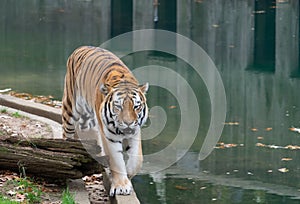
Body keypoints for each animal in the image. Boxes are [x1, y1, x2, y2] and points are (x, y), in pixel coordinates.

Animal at [61, 46, 148, 196]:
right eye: (118, 106)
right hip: (70, 108)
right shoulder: (109, 136)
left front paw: (128, 175)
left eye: (136, 107)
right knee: (67, 134)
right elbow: (116, 160)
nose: (128, 123)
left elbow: (137, 160)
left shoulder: (135, 132)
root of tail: (81, 47)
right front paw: (121, 186)